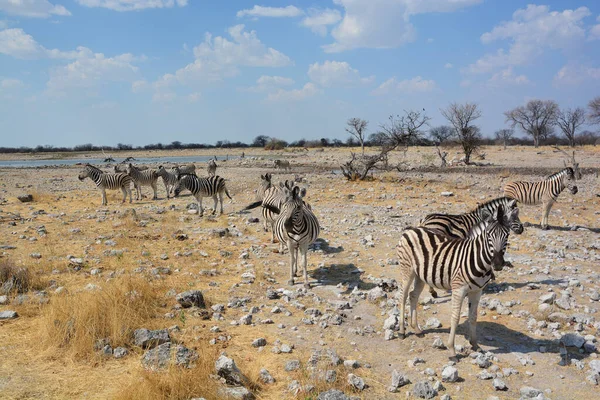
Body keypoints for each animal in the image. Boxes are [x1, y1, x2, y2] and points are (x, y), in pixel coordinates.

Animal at [396, 205, 516, 358]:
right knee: (403, 296)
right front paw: (452, 349)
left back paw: (416, 329)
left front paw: (475, 345)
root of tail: (413, 229)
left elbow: (473, 317)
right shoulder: (459, 289)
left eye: (507, 236)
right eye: (489, 236)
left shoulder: (477, 291)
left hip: (420, 274)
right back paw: (401, 331)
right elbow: (455, 317)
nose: (498, 264)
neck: (477, 260)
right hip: (407, 270)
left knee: (413, 296)